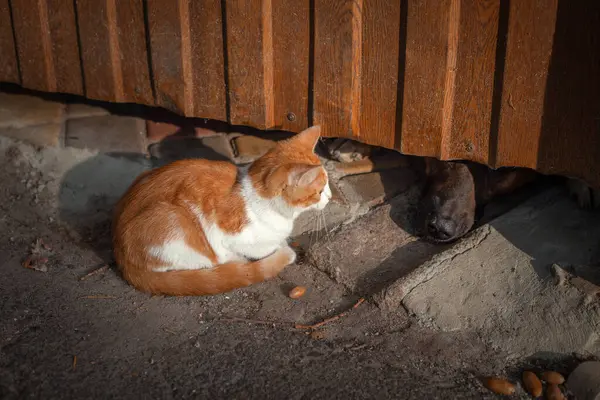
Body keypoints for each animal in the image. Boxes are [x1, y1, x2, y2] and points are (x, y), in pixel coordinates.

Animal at [110, 126, 330, 296]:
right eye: (319, 191)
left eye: (327, 186)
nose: (329, 197)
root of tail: (119, 252)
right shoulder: (231, 236)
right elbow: (260, 248)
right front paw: (278, 249)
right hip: (176, 221)